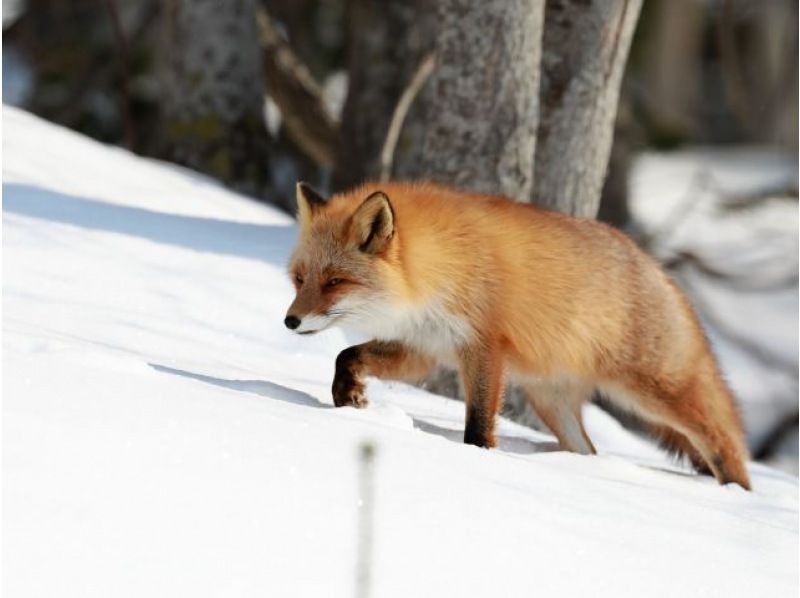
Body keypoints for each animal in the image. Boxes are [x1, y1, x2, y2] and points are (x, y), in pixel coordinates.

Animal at [284, 180, 752, 490]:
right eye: (300, 279)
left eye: (335, 282)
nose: (290, 321)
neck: (438, 271)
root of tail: (659, 269)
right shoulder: (423, 348)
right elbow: (346, 356)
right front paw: (348, 397)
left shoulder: (485, 347)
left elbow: (478, 421)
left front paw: (479, 458)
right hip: (550, 400)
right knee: (589, 450)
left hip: (654, 393)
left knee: (724, 444)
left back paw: (738, 497)